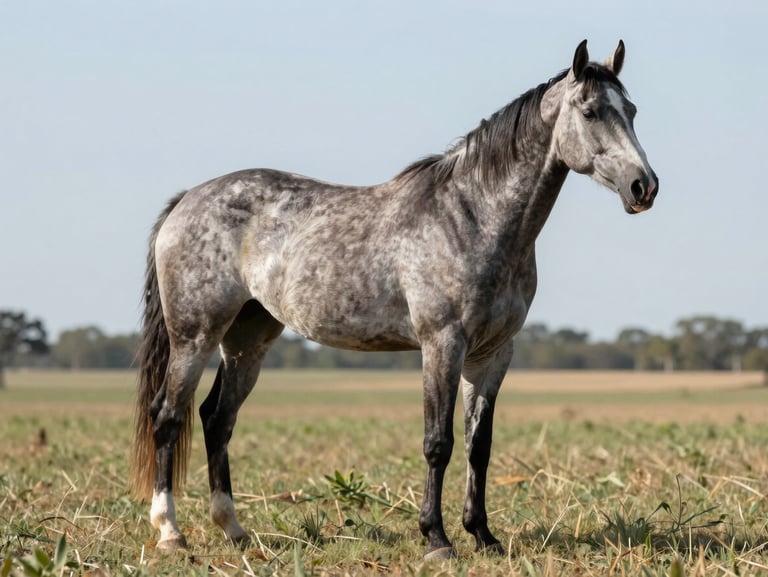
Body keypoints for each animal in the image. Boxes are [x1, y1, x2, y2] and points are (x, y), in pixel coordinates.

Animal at [129, 39, 658, 560]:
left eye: (631, 110)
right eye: (590, 112)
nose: (644, 186)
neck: (473, 215)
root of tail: (187, 200)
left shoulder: (492, 354)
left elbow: (479, 446)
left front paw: (483, 536)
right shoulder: (442, 344)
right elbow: (438, 442)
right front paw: (437, 540)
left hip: (248, 338)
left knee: (217, 419)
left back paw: (234, 530)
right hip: (195, 336)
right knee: (168, 416)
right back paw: (170, 533)